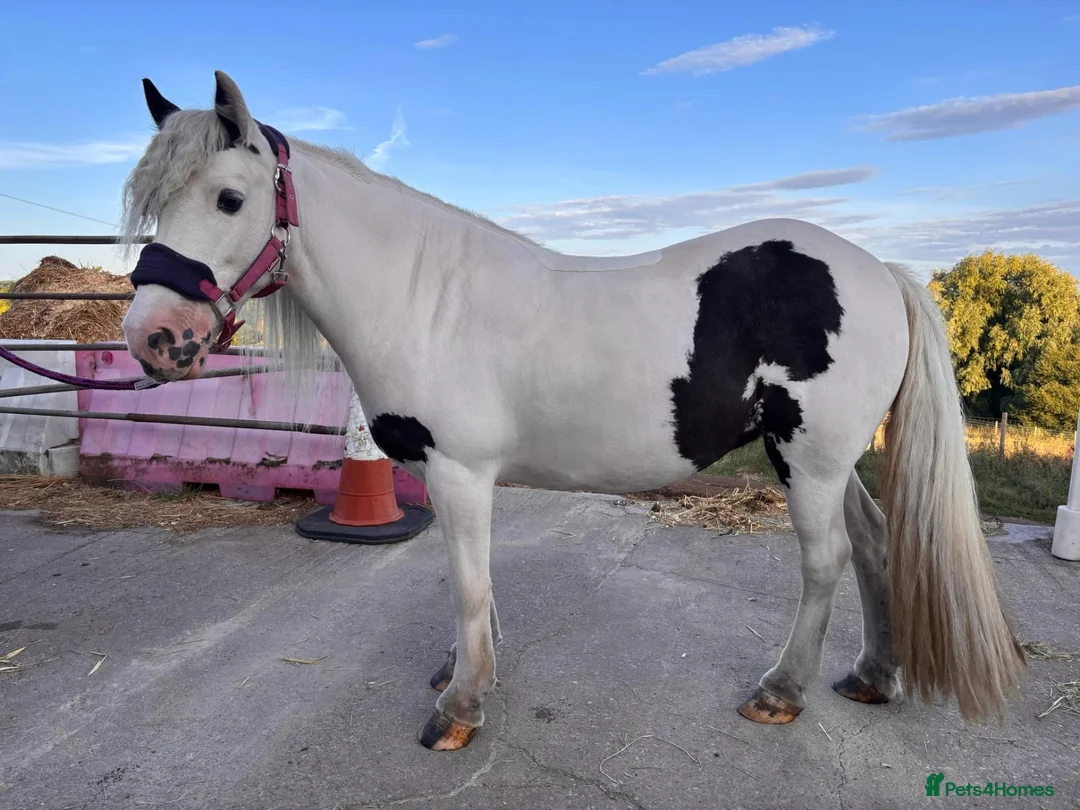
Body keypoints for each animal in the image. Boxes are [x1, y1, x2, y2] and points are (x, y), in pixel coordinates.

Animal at [118, 71, 1026, 751]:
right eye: (157, 200)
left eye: (229, 199)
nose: (153, 338)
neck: (425, 296)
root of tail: (881, 272)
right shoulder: (456, 479)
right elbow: (473, 585)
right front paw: (462, 673)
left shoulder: (459, 474)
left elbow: (468, 585)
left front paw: (460, 708)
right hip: (822, 460)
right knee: (874, 544)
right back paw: (871, 677)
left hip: (810, 459)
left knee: (828, 559)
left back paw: (780, 691)